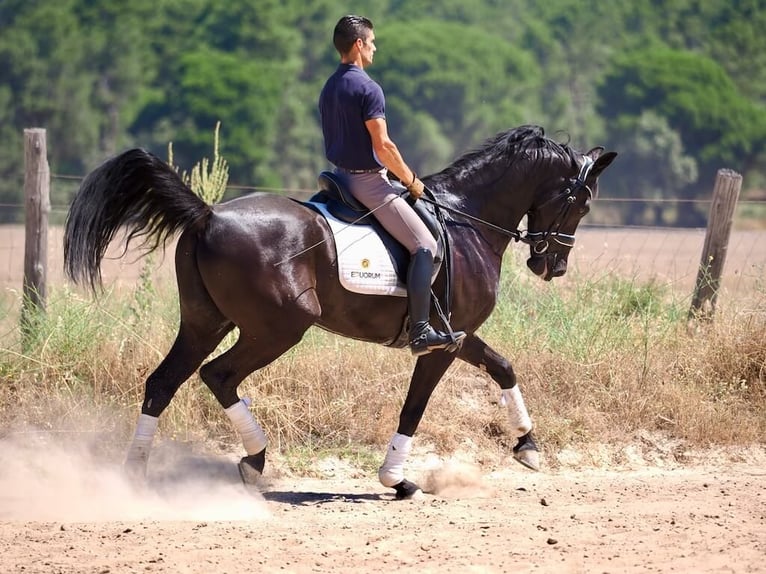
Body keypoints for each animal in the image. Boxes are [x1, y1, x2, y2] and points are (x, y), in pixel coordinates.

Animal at [64, 125, 617, 499]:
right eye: (583, 203)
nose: (552, 266)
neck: (467, 219)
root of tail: (208, 214)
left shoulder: (460, 334)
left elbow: (503, 366)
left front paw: (528, 446)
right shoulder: (442, 341)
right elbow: (414, 407)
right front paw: (396, 479)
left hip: (205, 322)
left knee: (163, 382)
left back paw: (134, 475)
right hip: (277, 329)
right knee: (218, 375)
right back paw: (254, 460)